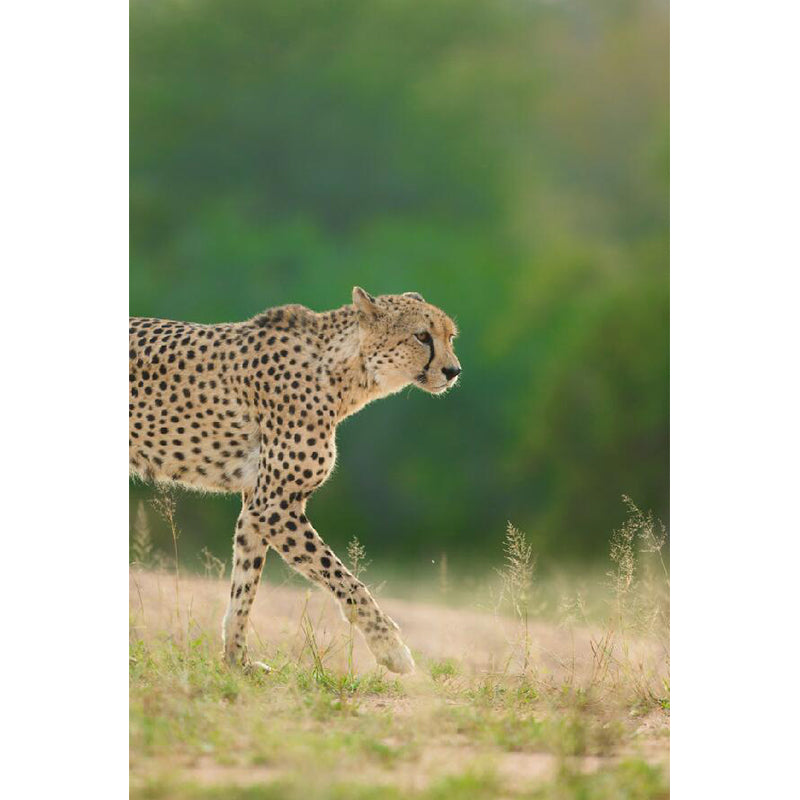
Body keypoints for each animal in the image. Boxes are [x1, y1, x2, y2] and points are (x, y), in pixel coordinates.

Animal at [129, 287, 461, 673]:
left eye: (449, 337)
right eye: (422, 336)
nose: (453, 371)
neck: (343, 371)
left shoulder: (255, 508)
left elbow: (244, 588)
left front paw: (237, 663)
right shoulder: (274, 507)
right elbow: (345, 579)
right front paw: (391, 648)